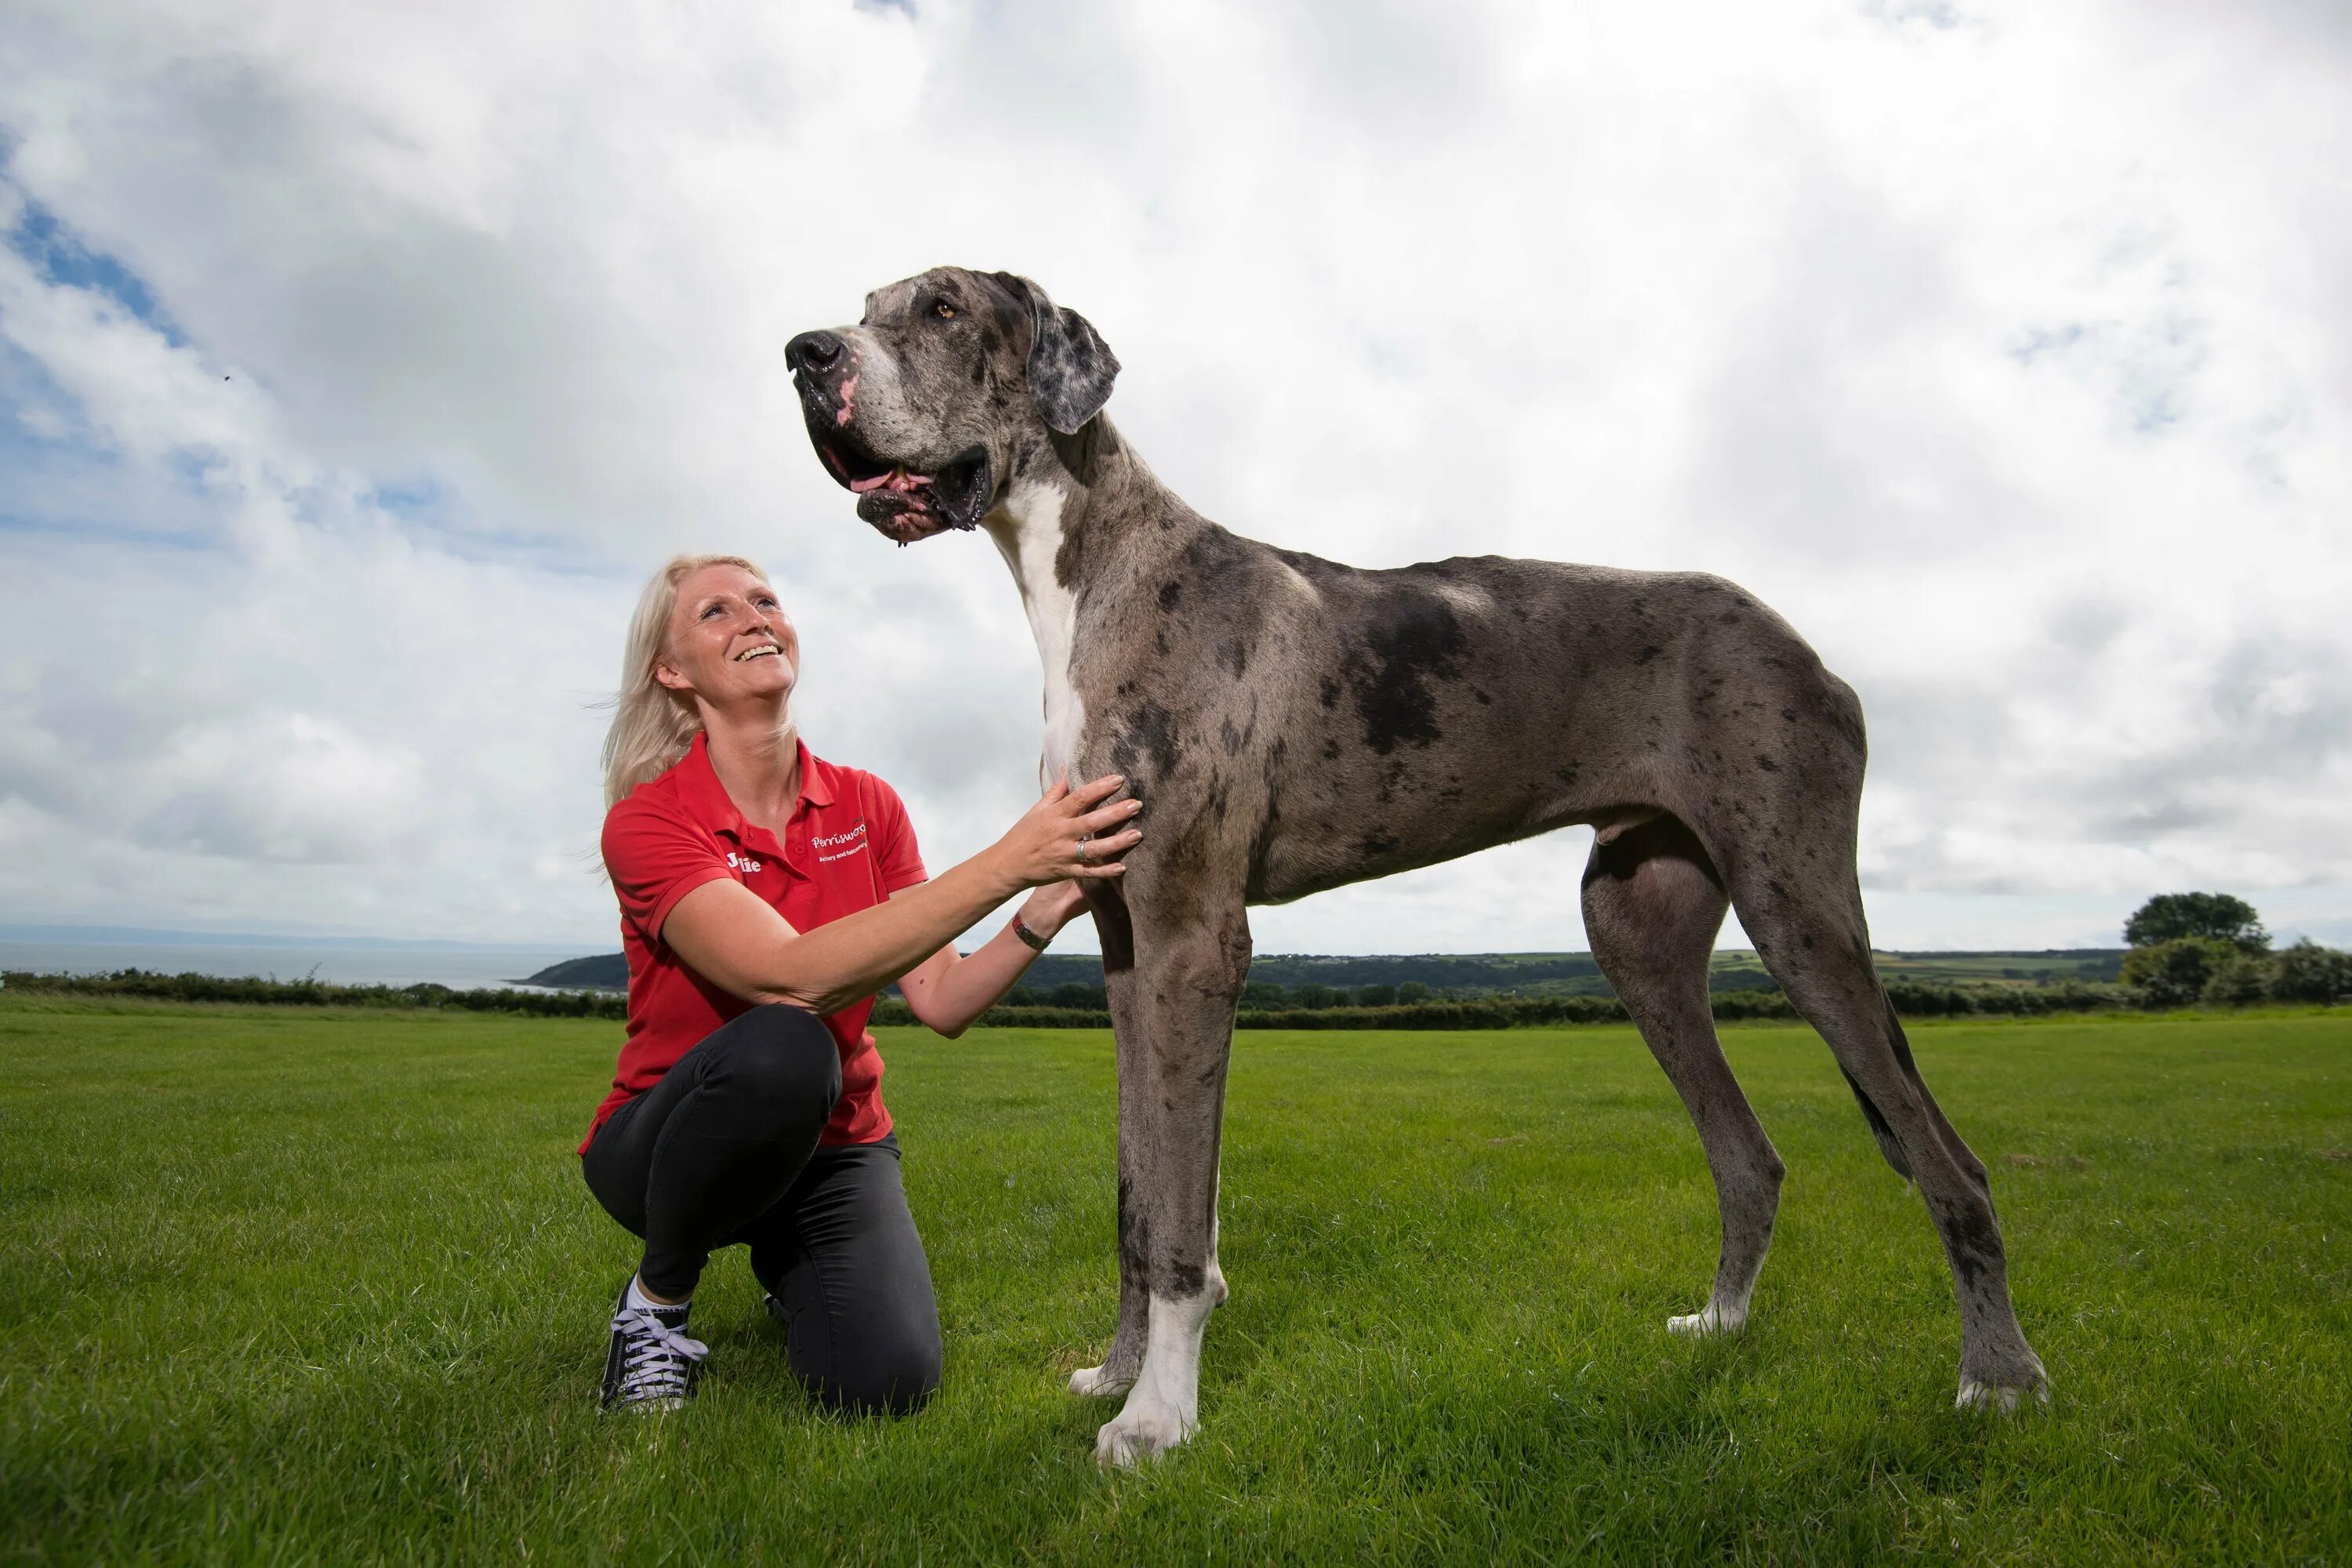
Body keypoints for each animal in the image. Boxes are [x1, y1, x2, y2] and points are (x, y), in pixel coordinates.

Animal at [781, 267, 2051, 1457]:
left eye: (944, 308)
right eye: (865, 307)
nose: (803, 352)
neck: (1090, 567)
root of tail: (1807, 645)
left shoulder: (1194, 938)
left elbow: (1184, 1224)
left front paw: (1159, 1421)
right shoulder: (1126, 945)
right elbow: (1139, 1201)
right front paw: (1117, 1375)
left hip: (1799, 909)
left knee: (1949, 1162)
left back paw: (1999, 1377)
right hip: (1635, 931)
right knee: (1751, 1158)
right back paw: (1723, 1325)